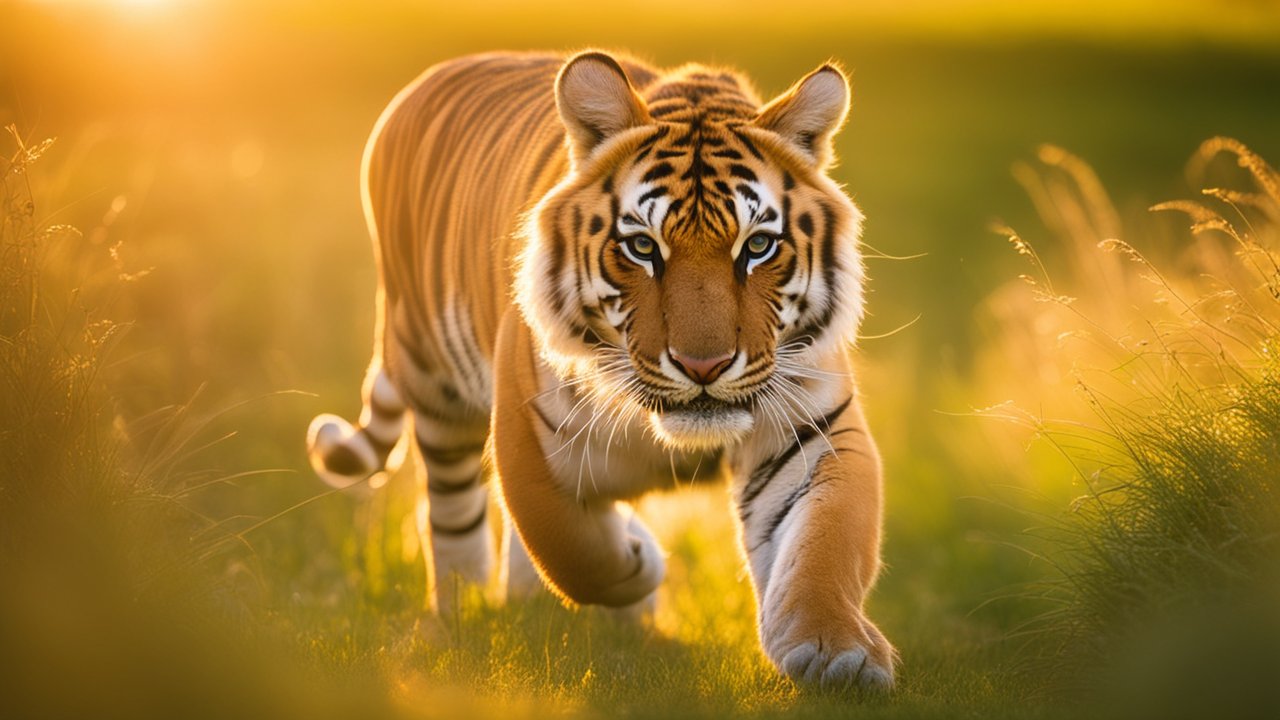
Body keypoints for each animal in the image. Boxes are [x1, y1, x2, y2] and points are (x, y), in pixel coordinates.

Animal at [306, 50, 894, 690]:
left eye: (758, 246)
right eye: (642, 247)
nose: (704, 365)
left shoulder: (812, 428)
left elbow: (824, 540)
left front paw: (835, 653)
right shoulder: (528, 433)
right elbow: (569, 547)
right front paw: (639, 563)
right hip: (434, 382)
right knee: (452, 513)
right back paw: (464, 616)